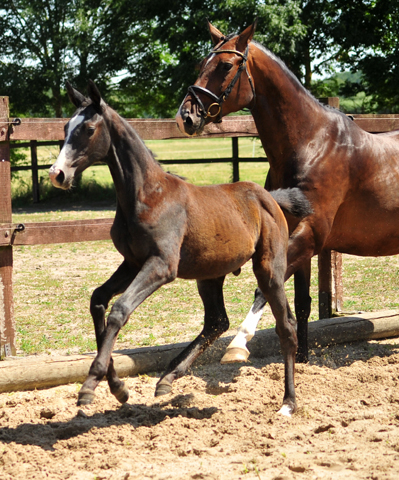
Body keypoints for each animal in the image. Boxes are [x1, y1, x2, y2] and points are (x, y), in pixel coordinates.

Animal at [49, 80, 312, 414]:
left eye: (89, 129)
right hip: (210, 274)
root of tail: (270, 197)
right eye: (66, 127)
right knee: (217, 321)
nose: (57, 174)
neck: (148, 195)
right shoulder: (132, 262)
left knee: (286, 325)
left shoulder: (161, 265)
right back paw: (167, 379)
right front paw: (118, 387)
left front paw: (90, 387)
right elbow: (98, 300)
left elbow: (120, 310)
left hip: (269, 268)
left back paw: (288, 402)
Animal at [177, 18, 399, 364]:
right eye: (202, 64)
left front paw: (238, 344)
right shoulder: (293, 235)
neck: (312, 144)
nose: (187, 116)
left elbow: (267, 287)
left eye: (226, 65)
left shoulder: (312, 235)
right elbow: (302, 303)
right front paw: (303, 359)